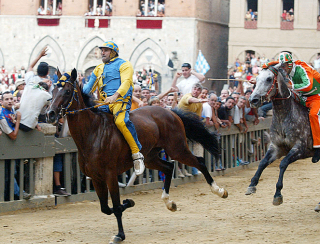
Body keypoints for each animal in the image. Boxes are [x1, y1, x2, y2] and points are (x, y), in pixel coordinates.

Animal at [47, 69, 228, 244]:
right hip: (150, 157)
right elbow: (105, 208)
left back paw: (219, 191)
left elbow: (116, 206)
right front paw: (129, 202)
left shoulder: (110, 174)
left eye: (67, 91)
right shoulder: (96, 177)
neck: (93, 133)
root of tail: (171, 112)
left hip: (177, 149)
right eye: (54, 90)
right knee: (169, 167)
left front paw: (120, 235)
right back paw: (169, 203)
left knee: (200, 162)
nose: (50, 113)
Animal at [244, 63, 318, 211]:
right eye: (256, 79)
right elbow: (262, 163)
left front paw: (277, 194)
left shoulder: (300, 148)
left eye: (268, 79)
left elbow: (283, 163)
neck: (284, 116)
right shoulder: (277, 147)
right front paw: (252, 185)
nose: (253, 100)